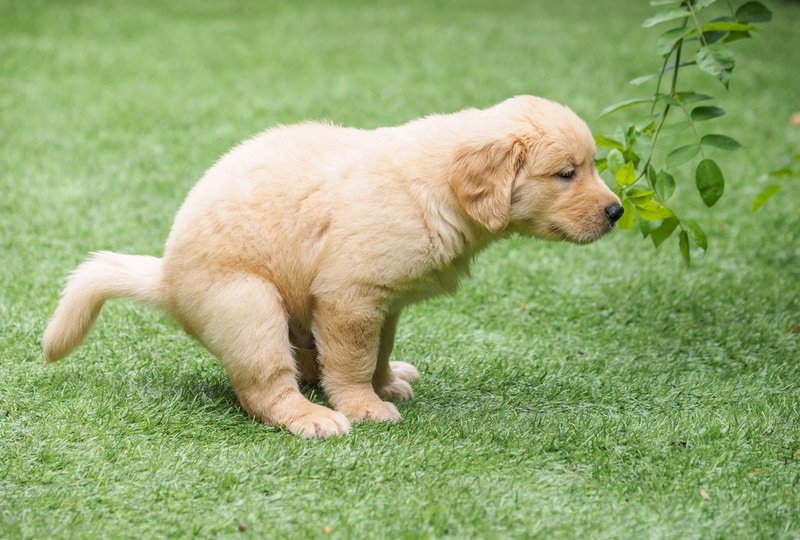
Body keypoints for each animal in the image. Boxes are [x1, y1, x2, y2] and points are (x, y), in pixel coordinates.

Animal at [40, 95, 620, 436]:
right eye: (566, 173)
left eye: (591, 166)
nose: (616, 211)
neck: (436, 188)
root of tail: (166, 278)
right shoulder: (351, 294)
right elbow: (353, 359)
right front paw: (363, 406)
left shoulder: (383, 303)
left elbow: (376, 351)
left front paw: (385, 383)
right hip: (249, 305)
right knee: (265, 388)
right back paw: (313, 417)